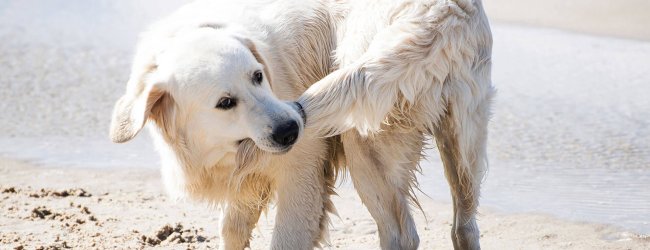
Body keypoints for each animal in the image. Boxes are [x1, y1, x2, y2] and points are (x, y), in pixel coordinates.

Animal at [110, 0, 492, 250]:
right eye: (225, 102)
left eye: (258, 76)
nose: (290, 129)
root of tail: (442, 14)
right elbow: (232, 229)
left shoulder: (302, 172)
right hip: (464, 143)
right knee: (464, 226)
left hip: (364, 141)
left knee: (402, 234)